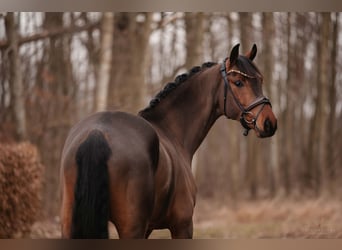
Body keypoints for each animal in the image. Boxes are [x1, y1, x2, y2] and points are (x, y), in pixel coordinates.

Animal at [60, 44, 276, 239]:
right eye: (238, 82)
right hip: (131, 228)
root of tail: (97, 132)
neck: (172, 132)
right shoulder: (182, 225)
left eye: (261, 80)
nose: (269, 123)